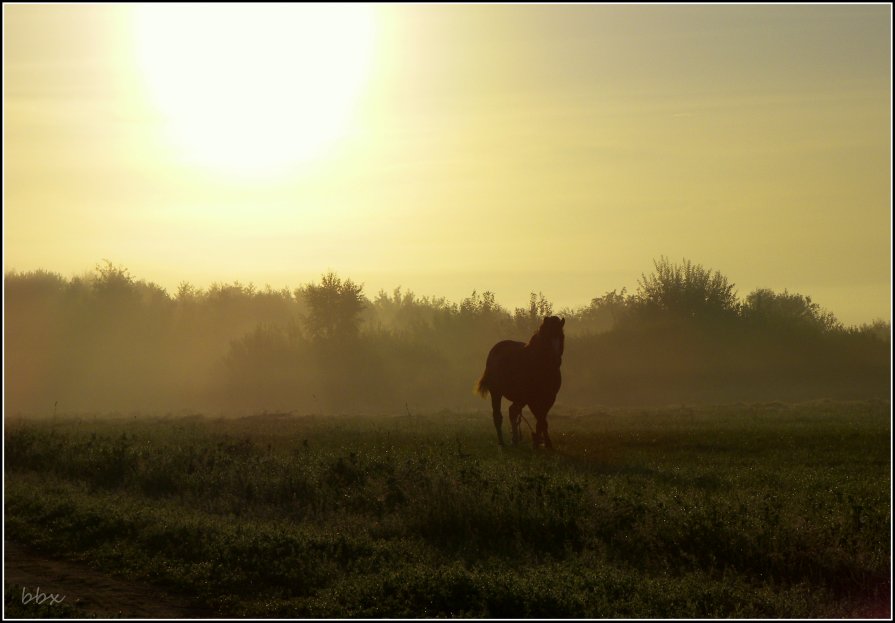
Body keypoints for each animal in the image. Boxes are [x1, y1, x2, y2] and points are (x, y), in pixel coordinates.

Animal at [476, 316, 568, 448]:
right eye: (546, 337)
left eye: (561, 336)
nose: (556, 361)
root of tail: (495, 349)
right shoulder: (531, 399)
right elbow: (541, 419)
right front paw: (538, 443)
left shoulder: (550, 398)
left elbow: (542, 420)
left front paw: (544, 443)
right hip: (497, 393)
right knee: (498, 416)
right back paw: (502, 442)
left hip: (520, 398)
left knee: (513, 411)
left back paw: (515, 439)